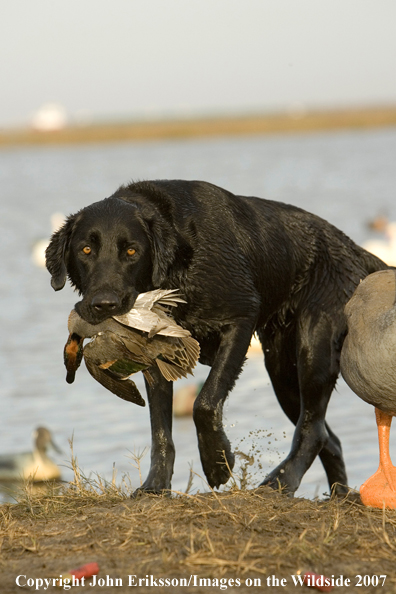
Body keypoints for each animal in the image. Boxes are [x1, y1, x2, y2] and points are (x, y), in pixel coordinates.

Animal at [45, 180, 386, 494]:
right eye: (86, 250)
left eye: (131, 251)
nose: (105, 304)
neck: (181, 265)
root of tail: (351, 246)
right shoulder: (154, 354)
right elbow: (160, 430)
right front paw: (156, 485)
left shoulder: (241, 318)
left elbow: (205, 402)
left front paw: (218, 462)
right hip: (283, 374)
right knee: (328, 437)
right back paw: (338, 495)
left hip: (313, 350)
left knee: (313, 430)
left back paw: (280, 482)